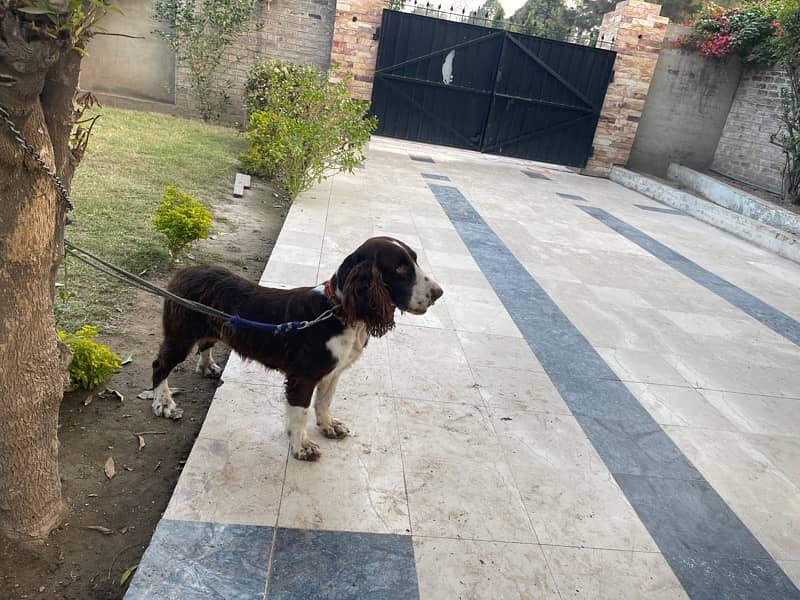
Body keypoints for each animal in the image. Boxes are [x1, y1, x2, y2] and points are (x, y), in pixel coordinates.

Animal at [150, 237, 444, 462]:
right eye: (400, 268)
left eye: (415, 260)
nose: (439, 293)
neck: (338, 311)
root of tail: (184, 271)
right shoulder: (302, 377)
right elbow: (300, 413)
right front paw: (302, 446)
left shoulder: (332, 372)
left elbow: (324, 402)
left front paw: (329, 426)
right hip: (180, 336)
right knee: (160, 366)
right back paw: (163, 403)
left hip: (211, 327)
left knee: (205, 344)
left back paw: (206, 366)